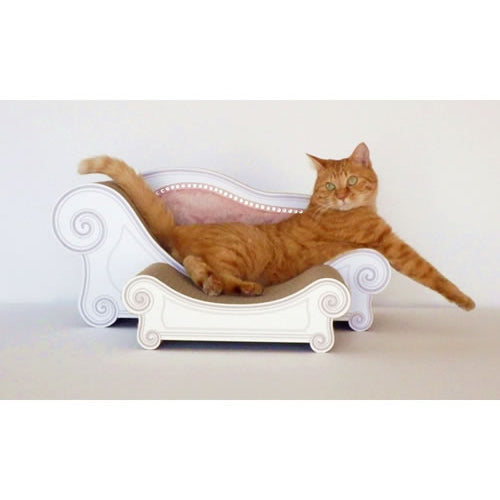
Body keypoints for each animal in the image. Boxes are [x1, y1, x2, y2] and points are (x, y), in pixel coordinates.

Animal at [78, 143, 475, 310]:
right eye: (330, 186)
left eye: (351, 180)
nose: (343, 195)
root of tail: (180, 229)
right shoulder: (390, 244)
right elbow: (433, 273)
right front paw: (465, 301)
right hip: (243, 248)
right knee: (217, 271)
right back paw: (241, 287)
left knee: (195, 265)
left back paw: (210, 285)